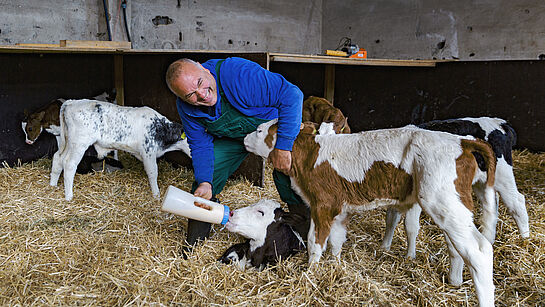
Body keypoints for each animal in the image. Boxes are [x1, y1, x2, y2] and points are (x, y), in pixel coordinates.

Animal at [49, 99, 192, 202]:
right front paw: (156, 195)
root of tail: (72, 102)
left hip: (68, 142)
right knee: (69, 164)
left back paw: (53, 185)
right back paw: (69, 196)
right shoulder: (148, 152)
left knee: (58, 158)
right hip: (79, 143)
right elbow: (153, 173)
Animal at [245, 120, 498, 307]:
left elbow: (314, 242)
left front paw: (310, 272)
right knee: (461, 247)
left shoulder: (322, 205)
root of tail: (462, 142)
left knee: (479, 251)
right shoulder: (339, 210)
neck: (309, 156)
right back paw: (455, 281)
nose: (245, 138)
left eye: (259, 130)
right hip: (453, 207)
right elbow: (336, 241)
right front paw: (335, 267)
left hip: (441, 201)